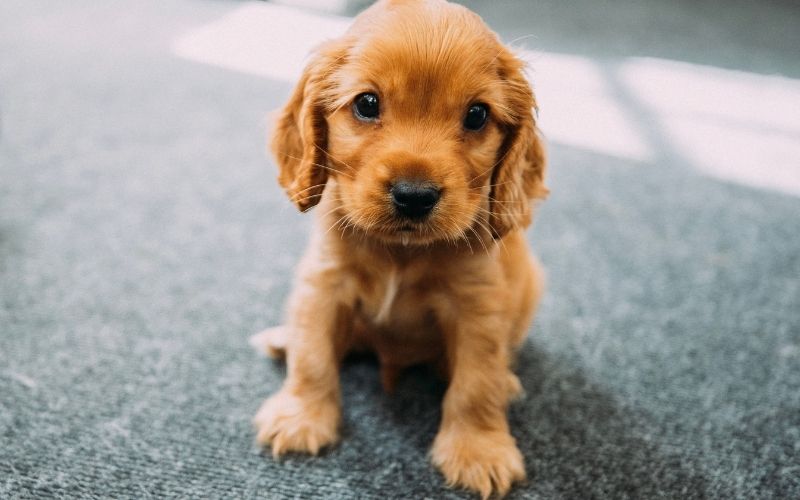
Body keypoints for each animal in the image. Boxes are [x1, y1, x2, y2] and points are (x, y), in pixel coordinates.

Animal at [253, 0, 548, 496]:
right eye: (367, 104)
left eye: (477, 115)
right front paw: (301, 417)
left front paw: (479, 451)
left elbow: (475, 385)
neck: (401, 251)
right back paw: (283, 338)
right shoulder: (324, 284)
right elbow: (313, 356)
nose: (414, 196)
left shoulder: (479, 305)